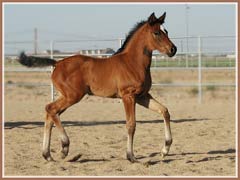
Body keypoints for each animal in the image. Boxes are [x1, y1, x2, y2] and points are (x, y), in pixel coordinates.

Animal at [18, 11, 176, 162]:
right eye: (157, 33)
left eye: (167, 31)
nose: (173, 49)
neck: (132, 63)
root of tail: (57, 63)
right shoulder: (128, 96)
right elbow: (131, 125)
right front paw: (131, 156)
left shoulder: (142, 96)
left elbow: (165, 111)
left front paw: (165, 150)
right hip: (72, 96)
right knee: (50, 109)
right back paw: (64, 147)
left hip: (67, 96)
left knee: (51, 115)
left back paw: (48, 154)